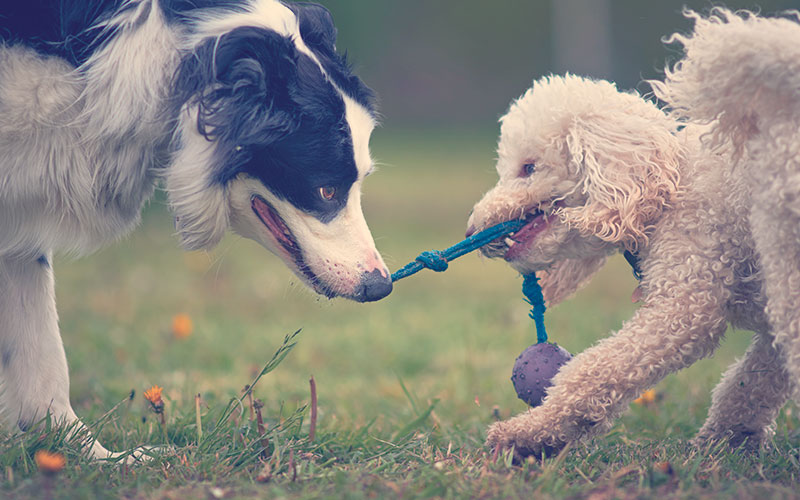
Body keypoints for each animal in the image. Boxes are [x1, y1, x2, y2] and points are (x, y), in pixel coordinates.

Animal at [466, 8, 800, 460]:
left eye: (528, 168)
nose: (473, 228)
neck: (668, 187)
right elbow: (753, 380)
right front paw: (728, 439)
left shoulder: (688, 291)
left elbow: (599, 369)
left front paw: (530, 432)